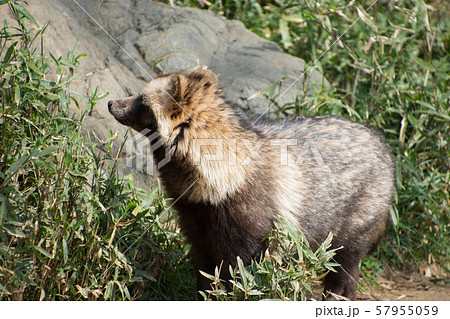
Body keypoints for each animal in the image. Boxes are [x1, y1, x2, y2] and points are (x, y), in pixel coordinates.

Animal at [107, 69, 396, 302]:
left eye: (141, 100)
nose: (110, 102)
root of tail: (382, 144)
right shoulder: (196, 215)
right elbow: (205, 267)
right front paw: (206, 295)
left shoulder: (253, 219)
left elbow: (245, 272)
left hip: (362, 211)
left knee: (345, 262)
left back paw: (339, 294)